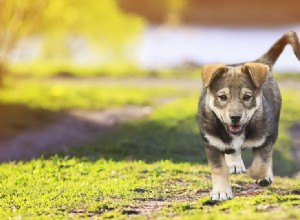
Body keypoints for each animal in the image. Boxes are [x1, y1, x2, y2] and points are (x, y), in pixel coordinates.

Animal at [198, 31, 298, 201]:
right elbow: (219, 169)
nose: (235, 117)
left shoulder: (266, 138)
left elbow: (260, 165)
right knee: (231, 152)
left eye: (247, 97)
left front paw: (260, 175)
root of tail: (258, 62)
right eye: (222, 97)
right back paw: (235, 164)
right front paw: (221, 191)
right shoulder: (212, 143)